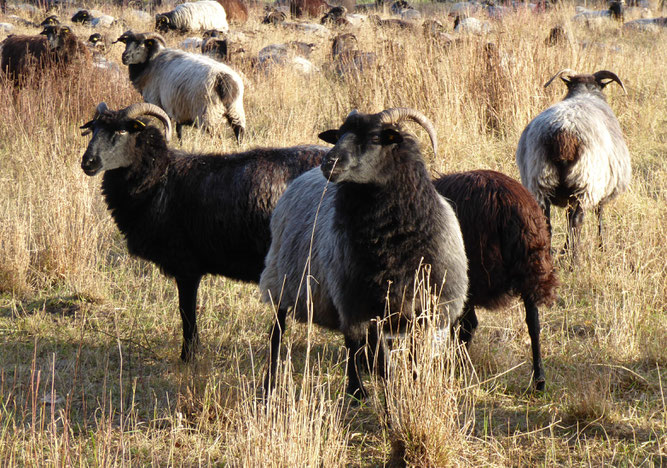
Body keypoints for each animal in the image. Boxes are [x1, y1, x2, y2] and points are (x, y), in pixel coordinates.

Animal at [79, 101, 330, 362]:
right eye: (94, 129)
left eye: (121, 131)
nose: (88, 162)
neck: (159, 177)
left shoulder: (186, 266)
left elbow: (187, 315)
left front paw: (188, 357)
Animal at [116, 30, 247, 141]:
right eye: (126, 43)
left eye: (141, 45)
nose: (124, 57)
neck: (151, 62)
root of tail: (223, 79)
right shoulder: (178, 110)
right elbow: (179, 131)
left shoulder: (159, 104)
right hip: (236, 111)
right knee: (239, 132)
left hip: (208, 114)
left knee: (216, 137)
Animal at [434, 170, 560, 390]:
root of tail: (509, 206)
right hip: (530, 272)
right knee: (534, 324)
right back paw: (539, 380)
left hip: (474, 275)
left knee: (469, 325)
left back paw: (455, 367)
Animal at [516, 70, 632, 262]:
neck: (585, 93)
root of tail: (564, 129)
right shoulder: (601, 188)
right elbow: (598, 215)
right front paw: (602, 247)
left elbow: (568, 217)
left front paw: (564, 250)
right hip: (586, 181)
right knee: (578, 221)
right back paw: (575, 262)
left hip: (540, 181)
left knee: (547, 223)